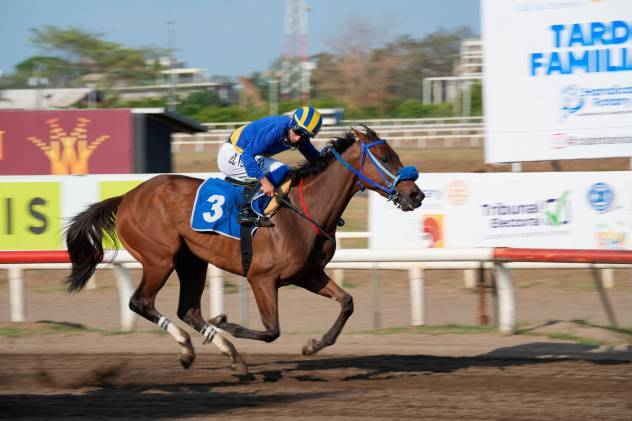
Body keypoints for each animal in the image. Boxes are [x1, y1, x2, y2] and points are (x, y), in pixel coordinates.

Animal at [64, 124, 422, 370]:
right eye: (386, 157)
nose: (415, 194)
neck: (302, 211)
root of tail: (127, 196)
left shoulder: (308, 274)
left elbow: (347, 302)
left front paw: (313, 345)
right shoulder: (262, 278)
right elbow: (272, 330)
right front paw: (228, 323)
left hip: (192, 260)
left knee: (188, 310)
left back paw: (232, 357)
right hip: (159, 258)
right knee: (141, 302)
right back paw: (188, 348)